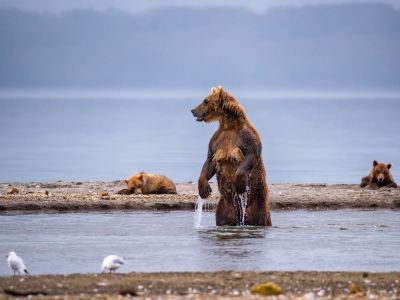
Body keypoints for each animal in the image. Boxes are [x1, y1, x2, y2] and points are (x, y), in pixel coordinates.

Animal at [191, 85, 272, 226]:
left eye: (205, 101)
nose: (192, 110)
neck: (229, 124)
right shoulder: (217, 140)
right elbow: (210, 160)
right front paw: (204, 188)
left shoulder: (246, 137)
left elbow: (250, 155)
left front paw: (239, 184)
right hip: (224, 207)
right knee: (221, 218)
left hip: (258, 206)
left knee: (262, 219)